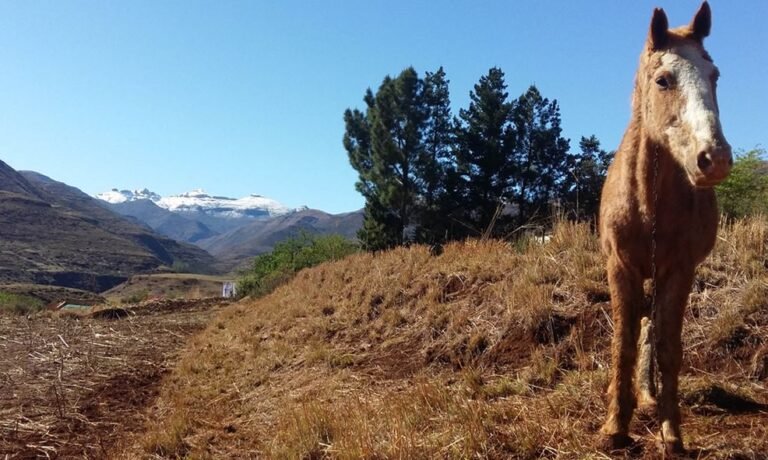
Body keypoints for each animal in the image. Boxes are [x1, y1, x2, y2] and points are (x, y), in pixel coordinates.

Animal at [598, 2, 731, 454]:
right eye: (663, 80)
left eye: (714, 75)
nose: (715, 159)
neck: (648, 204)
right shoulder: (620, 267)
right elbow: (622, 343)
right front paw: (614, 428)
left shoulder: (679, 270)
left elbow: (668, 346)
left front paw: (671, 433)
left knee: (652, 329)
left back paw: (650, 397)